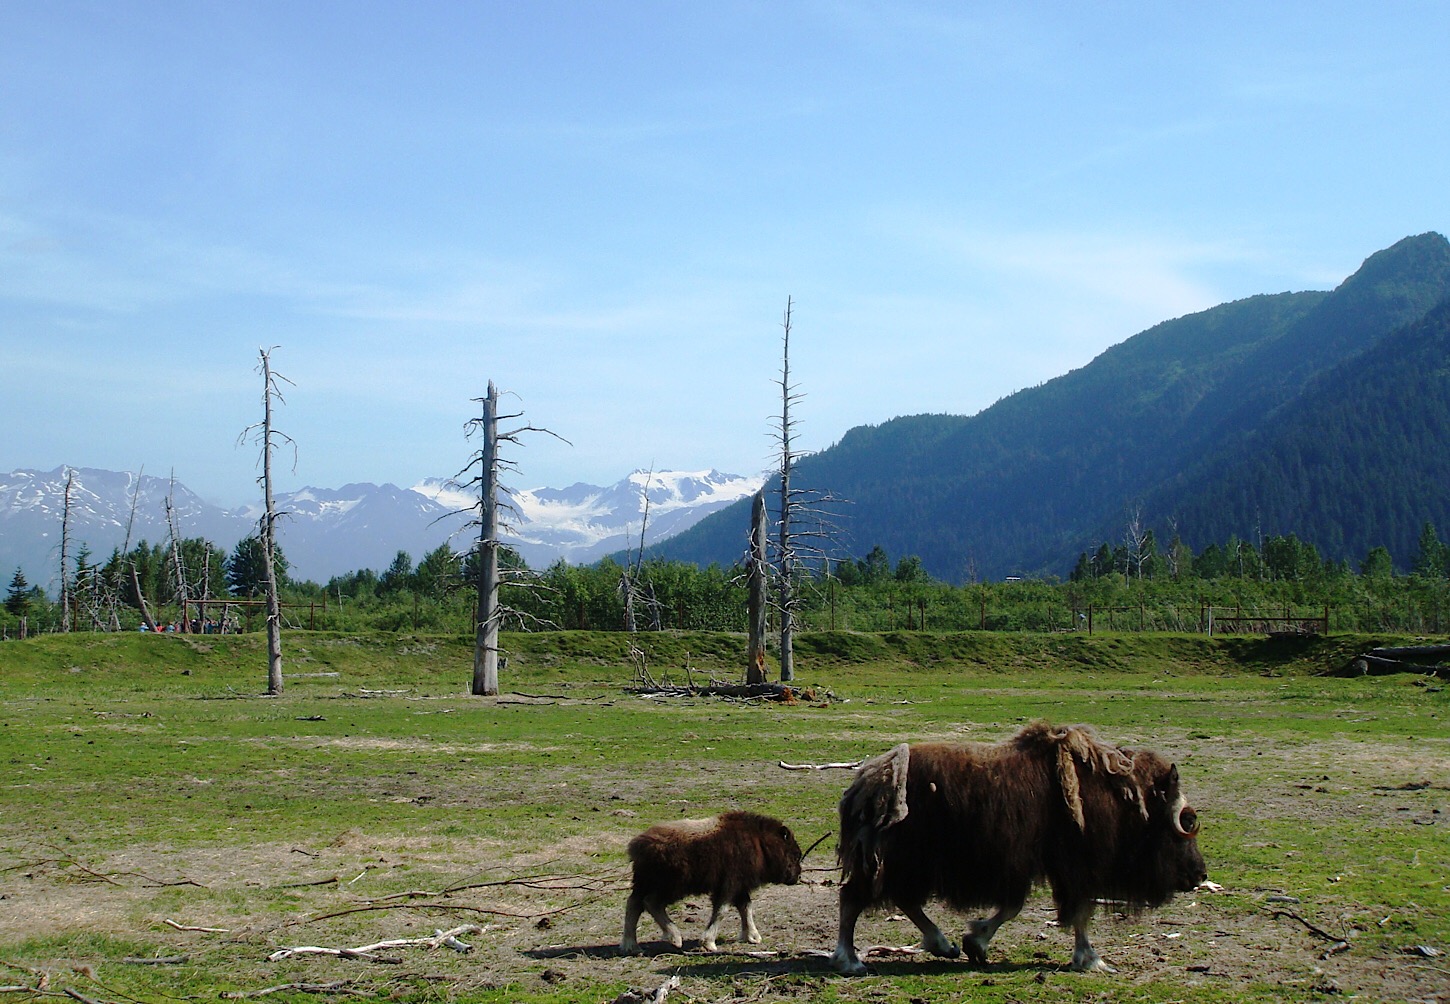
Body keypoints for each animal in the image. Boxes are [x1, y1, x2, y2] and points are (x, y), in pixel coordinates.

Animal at [617, 806, 806, 957]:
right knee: (650, 902)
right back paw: (674, 938)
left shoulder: (740, 886)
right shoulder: (730, 883)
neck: (760, 843)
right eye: (795, 854)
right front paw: (708, 943)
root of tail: (637, 846)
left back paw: (631, 945)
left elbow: (746, 908)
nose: (797, 876)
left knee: (634, 905)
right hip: (670, 886)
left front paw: (752, 936)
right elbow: (722, 910)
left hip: (644, 883)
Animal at [829, 722, 1200, 974]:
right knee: (853, 899)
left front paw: (974, 943)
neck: (1122, 797)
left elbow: (1015, 908)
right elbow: (1071, 912)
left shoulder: (1035, 866)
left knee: (902, 900)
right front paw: (1092, 960)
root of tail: (867, 782)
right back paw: (851, 961)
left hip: (906, 866)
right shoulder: (1072, 868)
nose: (1199, 875)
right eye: (1188, 821)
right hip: (890, 863)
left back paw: (943, 945)